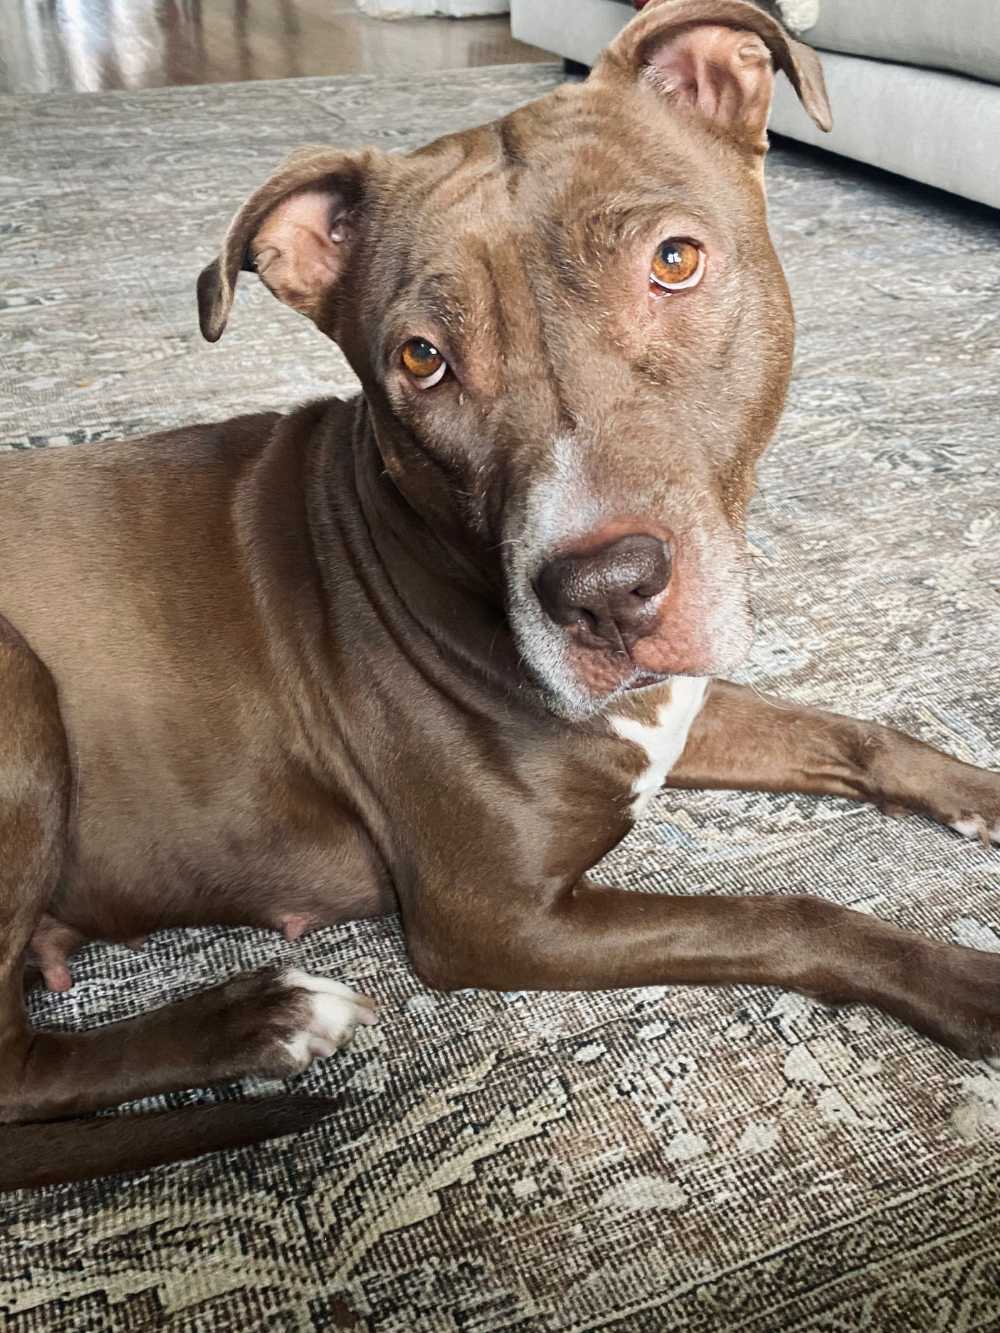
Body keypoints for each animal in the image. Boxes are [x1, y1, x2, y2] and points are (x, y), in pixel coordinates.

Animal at [1, 0, 998, 1190]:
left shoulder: (668, 707)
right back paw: (265, 1021)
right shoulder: (499, 918)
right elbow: (788, 911)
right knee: (17, 1068)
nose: (606, 593)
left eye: (674, 261)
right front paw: (969, 984)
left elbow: (858, 733)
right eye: (421, 359)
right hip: (18, 696)